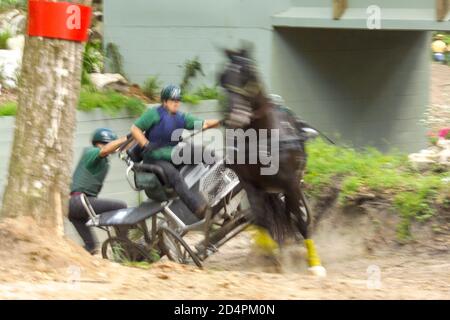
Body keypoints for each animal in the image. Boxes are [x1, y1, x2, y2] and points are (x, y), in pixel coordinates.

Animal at [219, 48, 326, 276]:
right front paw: (270, 255)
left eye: (247, 74)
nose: (234, 117)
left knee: (291, 214)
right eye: (223, 78)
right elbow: (262, 219)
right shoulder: (251, 185)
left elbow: (299, 219)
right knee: (273, 217)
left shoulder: (291, 184)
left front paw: (314, 263)